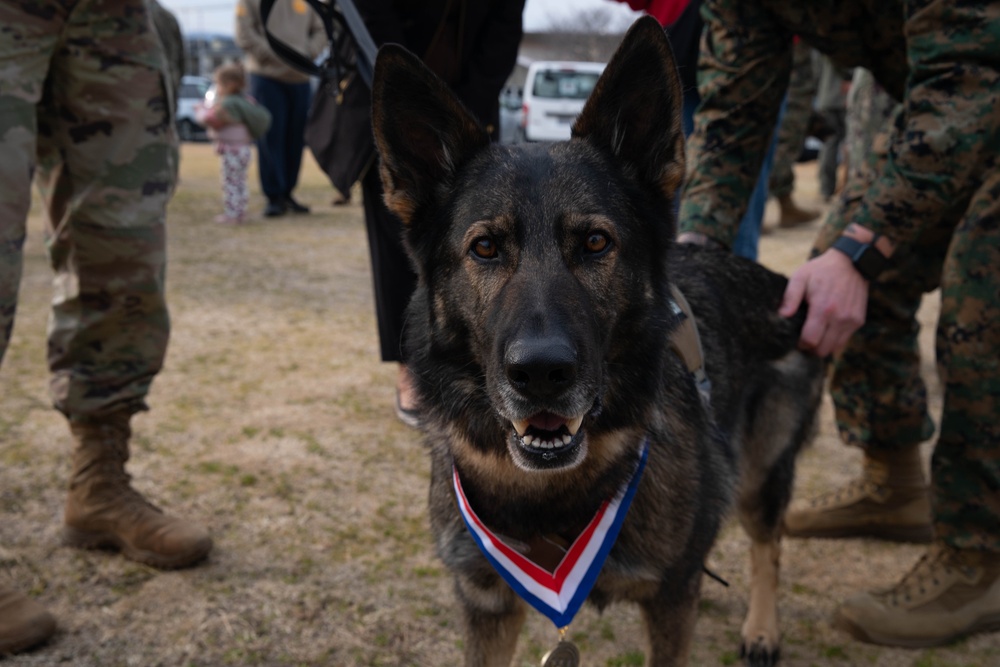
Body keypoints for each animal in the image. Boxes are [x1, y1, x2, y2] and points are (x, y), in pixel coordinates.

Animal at [372, 15, 824, 667]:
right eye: (484, 248)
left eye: (594, 243)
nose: (541, 374)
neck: (550, 495)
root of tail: (782, 284)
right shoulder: (486, 605)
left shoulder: (669, 600)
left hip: (762, 469)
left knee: (771, 542)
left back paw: (762, 628)